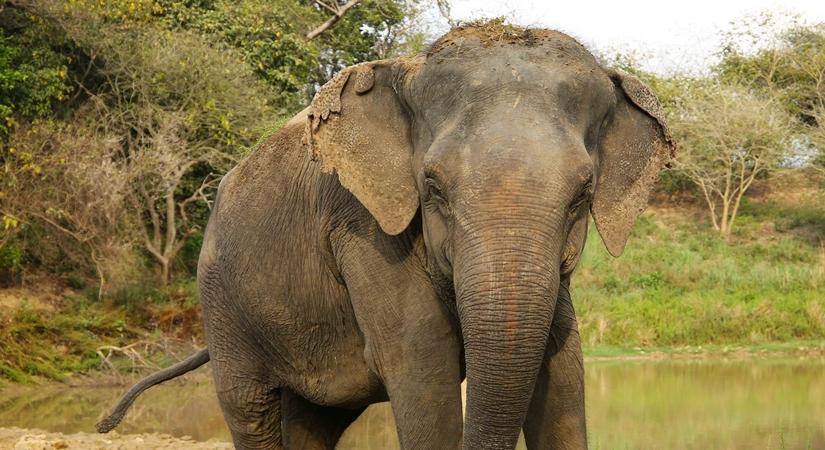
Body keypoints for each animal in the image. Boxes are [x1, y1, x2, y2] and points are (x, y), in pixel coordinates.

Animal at [97, 23, 673, 450]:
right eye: (433, 187)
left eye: (583, 193)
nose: (104, 424)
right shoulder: (362, 228)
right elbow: (422, 366)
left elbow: (564, 366)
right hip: (222, 302)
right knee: (249, 407)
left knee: (313, 422)